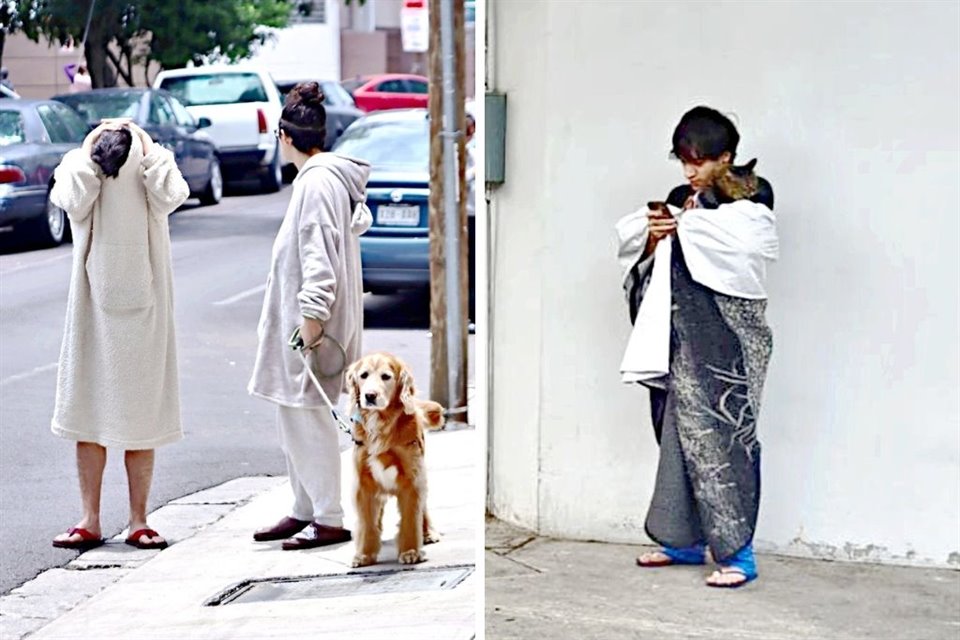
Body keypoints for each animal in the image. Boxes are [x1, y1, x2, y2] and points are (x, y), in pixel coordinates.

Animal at [346, 352, 444, 568]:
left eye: (386, 377)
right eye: (363, 375)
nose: (370, 396)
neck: (381, 424)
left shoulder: (412, 479)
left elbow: (410, 518)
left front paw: (410, 551)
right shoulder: (363, 483)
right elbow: (366, 521)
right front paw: (364, 554)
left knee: (422, 508)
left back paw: (428, 532)